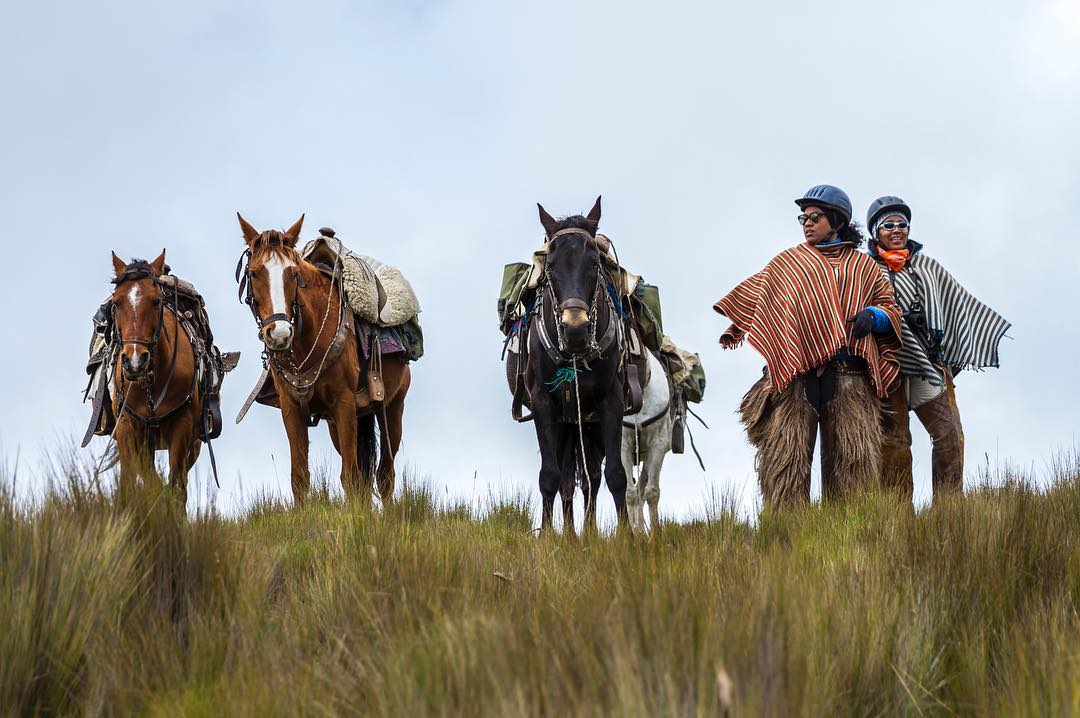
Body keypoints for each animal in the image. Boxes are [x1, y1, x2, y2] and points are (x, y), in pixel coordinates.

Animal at [107, 251, 205, 504]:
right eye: (116, 302)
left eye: (156, 301)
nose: (134, 361)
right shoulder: (127, 427)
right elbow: (136, 479)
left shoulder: (182, 428)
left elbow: (176, 486)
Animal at [236, 214, 411, 504]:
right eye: (253, 273)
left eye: (294, 273)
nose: (280, 333)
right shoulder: (292, 409)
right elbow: (300, 478)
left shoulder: (344, 403)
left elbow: (350, 477)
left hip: (391, 407)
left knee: (385, 474)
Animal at [519, 197, 630, 534]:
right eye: (551, 266)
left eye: (594, 263)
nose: (576, 329)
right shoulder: (543, 403)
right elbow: (550, 476)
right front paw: (547, 536)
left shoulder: (610, 402)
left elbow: (615, 475)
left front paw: (627, 536)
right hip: (566, 424)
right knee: (567, 478)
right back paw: (568, 533)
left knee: (590, 476)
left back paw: (587, 531)